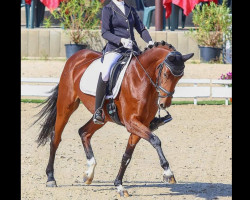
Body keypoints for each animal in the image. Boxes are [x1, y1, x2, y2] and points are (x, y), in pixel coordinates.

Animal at [33, 41, 193, 197]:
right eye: (165, 74)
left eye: (180, 77)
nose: (164, 104)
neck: (141, 79)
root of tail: (76, 56)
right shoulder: (131, 123)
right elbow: (155, 140)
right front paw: (168, 173)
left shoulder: (142, 123)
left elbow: (127, 156)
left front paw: (119, 185)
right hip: (66, 106)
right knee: (55, 138)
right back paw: (51, 178)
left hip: (102, 117)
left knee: (84, 132)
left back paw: (89, 173)